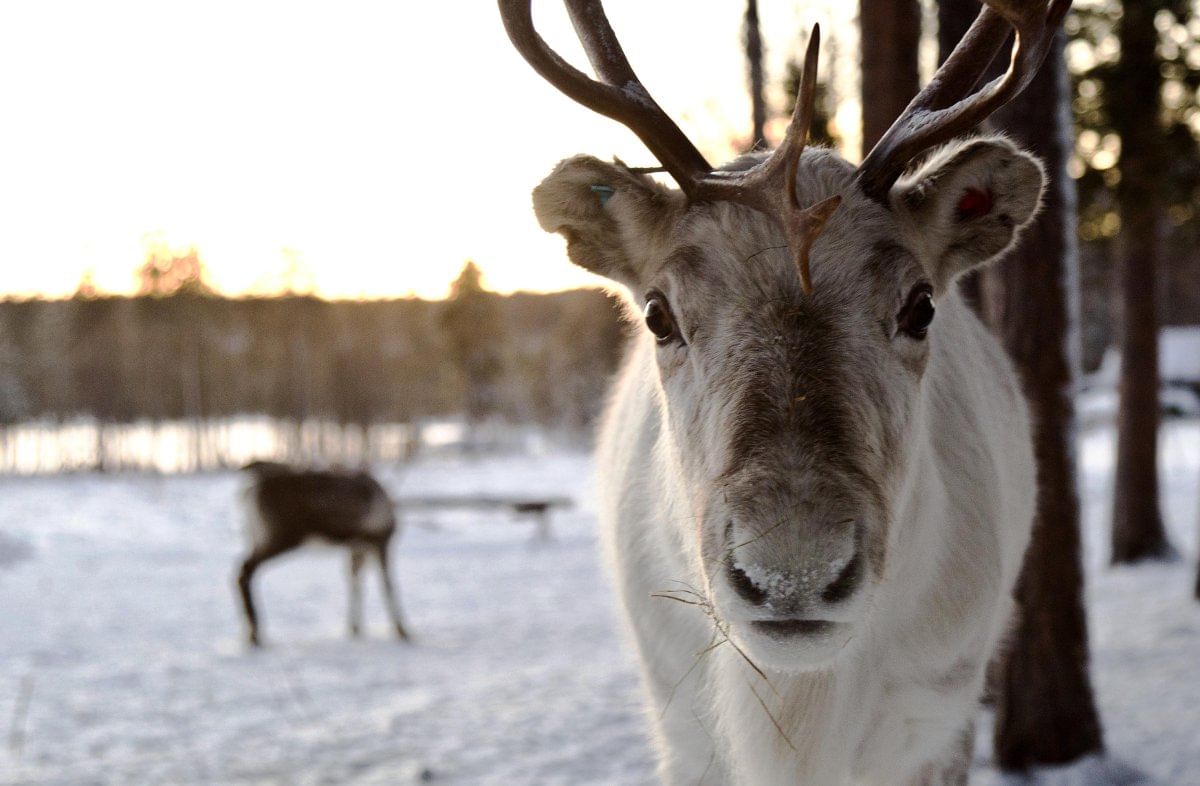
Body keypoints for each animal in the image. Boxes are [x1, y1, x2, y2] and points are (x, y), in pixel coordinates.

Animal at [235, 461, 410, 647]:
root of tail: (249, 492)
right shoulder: (380, 541)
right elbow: (388, 585)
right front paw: (403, 631)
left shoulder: (357, 547)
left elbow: (356, 585)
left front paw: (355, 629)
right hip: (280, 537)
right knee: (245, 570)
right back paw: (255, 635)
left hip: (256, 537)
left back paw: (252, 634)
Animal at [500, 0, 1067, 783]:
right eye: (657, 313)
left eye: (921, 305)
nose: (792, 571)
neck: (800, 710)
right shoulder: (684, 728)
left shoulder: (938, 720)